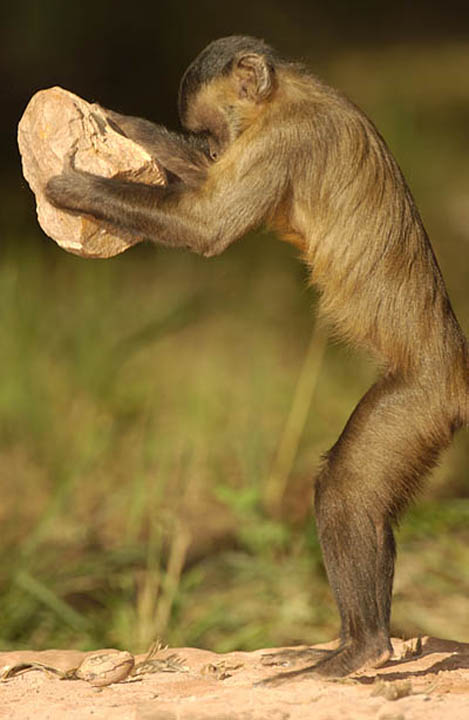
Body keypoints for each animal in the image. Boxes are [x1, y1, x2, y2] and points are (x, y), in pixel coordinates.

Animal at [45, 35, 466, 680]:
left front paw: (75, 190)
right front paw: (119, 122)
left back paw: (364, 647)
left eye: (216, 128)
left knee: (346, 487)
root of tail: (456, 368)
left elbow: (207, 227)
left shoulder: (281, 141)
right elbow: (204, 189)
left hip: (420, 403)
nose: (218, 147)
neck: (289, 97)